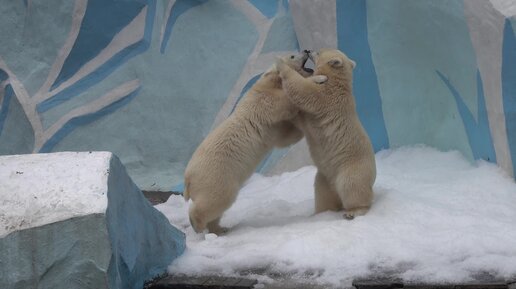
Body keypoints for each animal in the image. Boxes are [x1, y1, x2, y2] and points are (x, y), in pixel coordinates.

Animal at [181, 50, 326, 234]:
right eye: (292, 56)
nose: (306, 50)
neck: (269, 82)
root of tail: (188, 178)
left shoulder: (273, 128)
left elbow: (285, 137)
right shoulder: (264, 101)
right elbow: (285, 100)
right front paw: (319, 78)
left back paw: (220, 229)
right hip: (217, 175)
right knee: (217, 199)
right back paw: (198, 225)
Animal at [276, 48, 376, 218]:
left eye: (318, 51)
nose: (307, 49)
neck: (338, 83)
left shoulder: (326, 97)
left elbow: (304, 92)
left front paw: (282, 64)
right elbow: (300, 118)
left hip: (351, 169)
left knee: (352, 187)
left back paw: (353, 211)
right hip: (324, 176)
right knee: (322, 194)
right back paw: (319, 213)